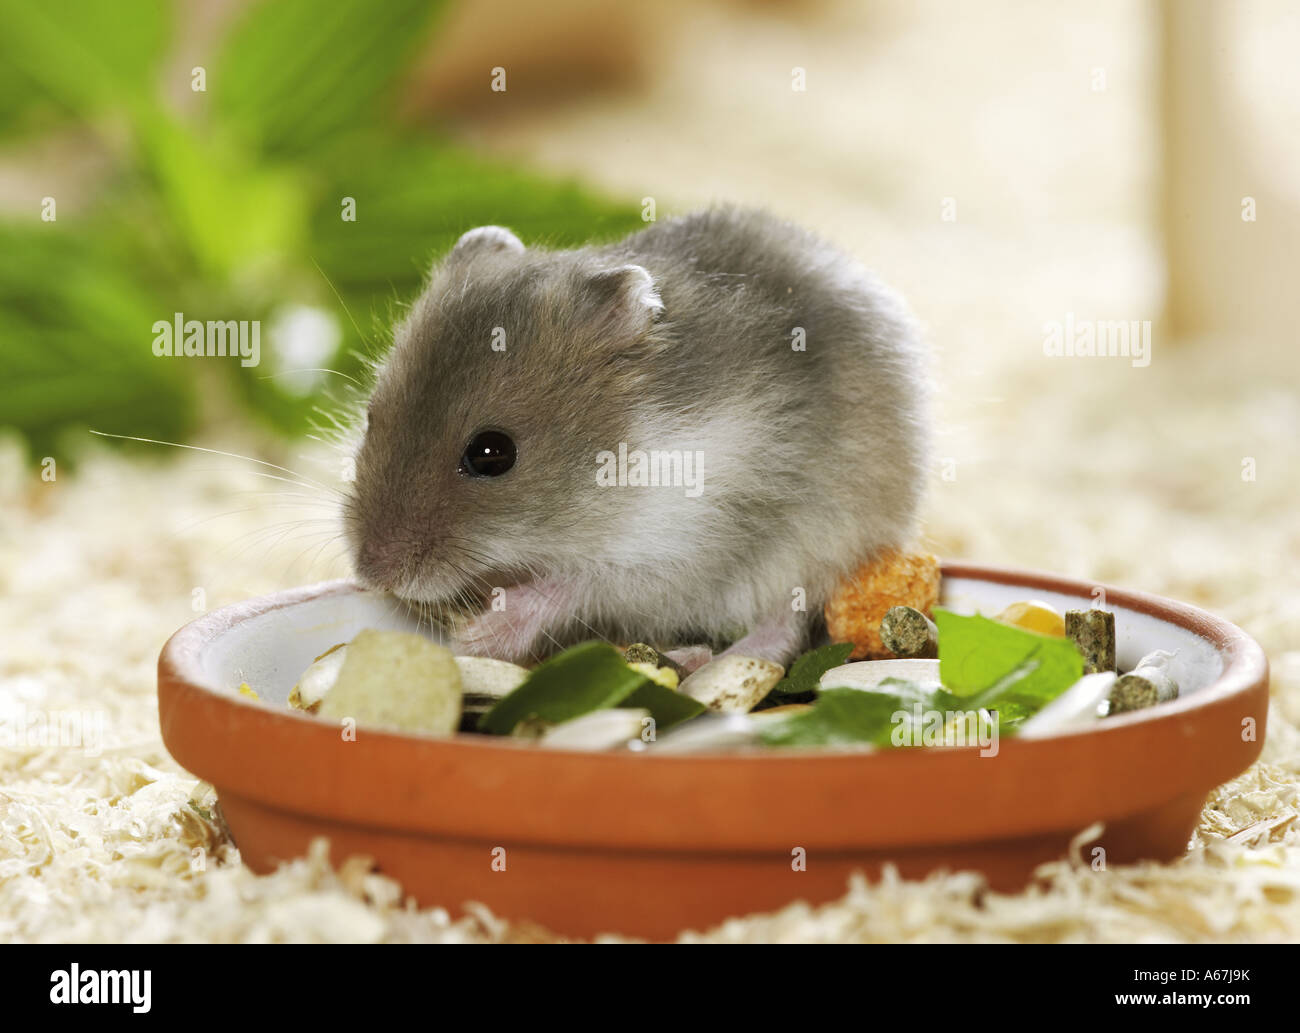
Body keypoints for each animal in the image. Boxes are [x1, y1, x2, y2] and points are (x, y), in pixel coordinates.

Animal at [345, 206, 930, 665]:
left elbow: (571, 585)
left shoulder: (674, 546)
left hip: (815, 546)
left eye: (492, 454)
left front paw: (480, 637)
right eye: (372, 417)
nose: (371, 575)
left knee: (781, 627)